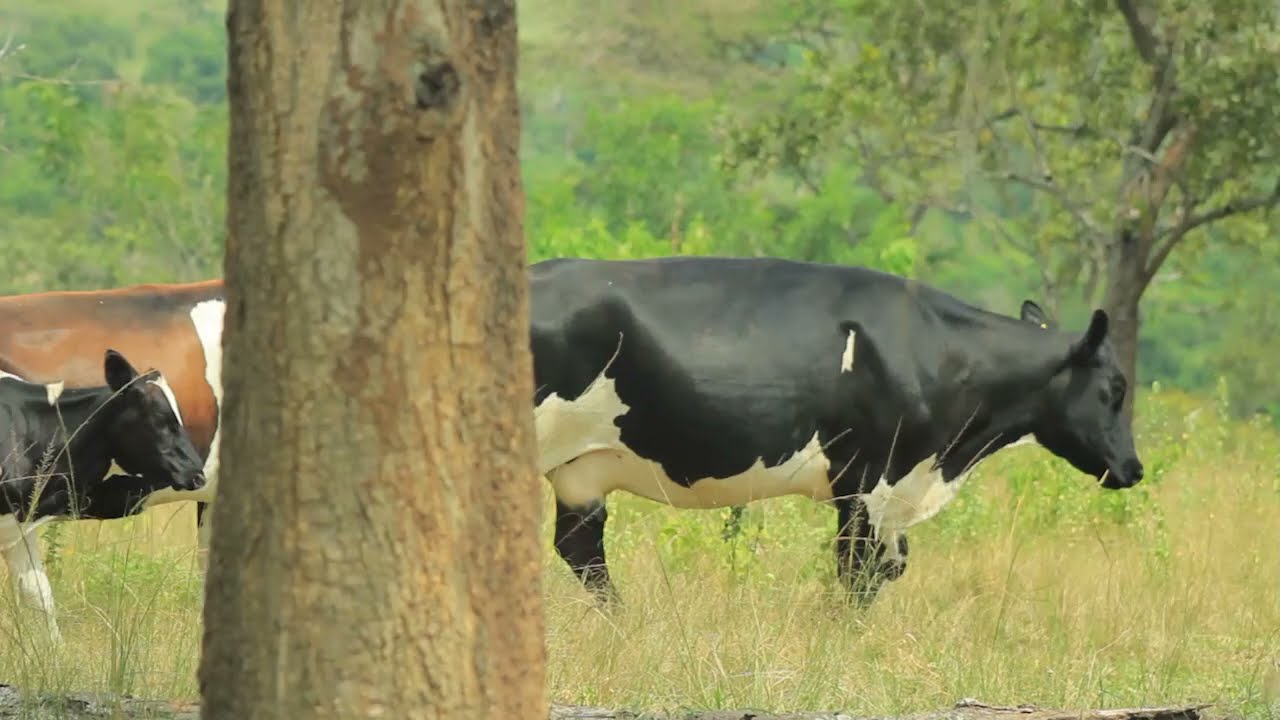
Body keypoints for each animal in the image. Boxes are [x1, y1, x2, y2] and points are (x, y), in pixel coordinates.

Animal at [529, 256, 1144, 606]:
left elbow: (886, 570)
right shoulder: (869, 480)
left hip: (579, 471)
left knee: (581, 551)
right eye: (1116, 388)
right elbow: (859, 572)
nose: (1134, 468)